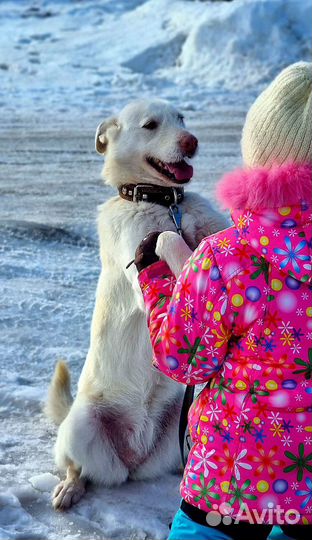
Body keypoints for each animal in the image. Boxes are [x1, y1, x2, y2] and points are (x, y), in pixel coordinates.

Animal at [45, 99, 228, 508]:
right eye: (150, 125)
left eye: (182, 119)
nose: (191, 141)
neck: (164, 203)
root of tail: (133, 458)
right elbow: (169, 242)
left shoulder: (209, 227)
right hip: (80, 426)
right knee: (78, 467)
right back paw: (71, 486)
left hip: (179, 420)